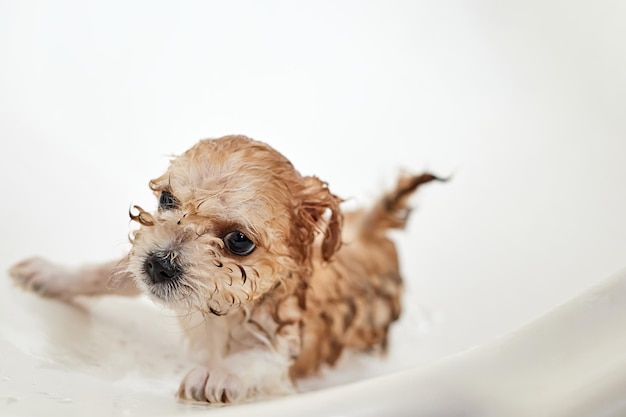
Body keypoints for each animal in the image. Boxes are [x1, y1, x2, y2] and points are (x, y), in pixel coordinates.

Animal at [8, 136, 438, 404]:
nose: (158, 265)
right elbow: (107, 274)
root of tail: (370, 234)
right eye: (167, 199)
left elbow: (258, 360)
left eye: (239, 241)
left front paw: (218, 374)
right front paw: (52, 274)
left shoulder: (287, 352)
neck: (224, 312)